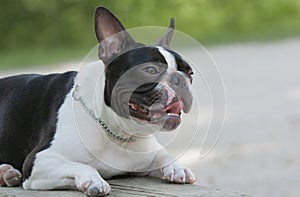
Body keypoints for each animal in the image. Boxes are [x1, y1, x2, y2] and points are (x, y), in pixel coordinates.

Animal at [0, 6, 196, 196]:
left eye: (190, 73)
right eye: (150, 70)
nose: (179, 80)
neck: (115, 131)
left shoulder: (148, 155)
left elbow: (165, 155)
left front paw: (179, 168)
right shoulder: (39, 161)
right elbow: (82, 166)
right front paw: (94, 181)